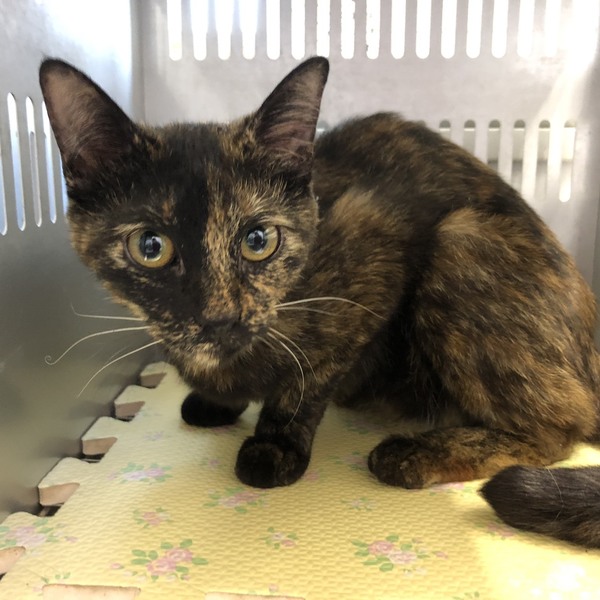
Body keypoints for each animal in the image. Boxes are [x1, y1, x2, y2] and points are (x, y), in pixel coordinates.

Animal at [40, 56, 600, 548]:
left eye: (259, 240)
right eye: (150, 247)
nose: (219, 318)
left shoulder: (375, 259)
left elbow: (307, 379)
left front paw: (275, 444)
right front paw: (217, 401)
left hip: (461, 239)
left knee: (558, 429)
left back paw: (415, 453)